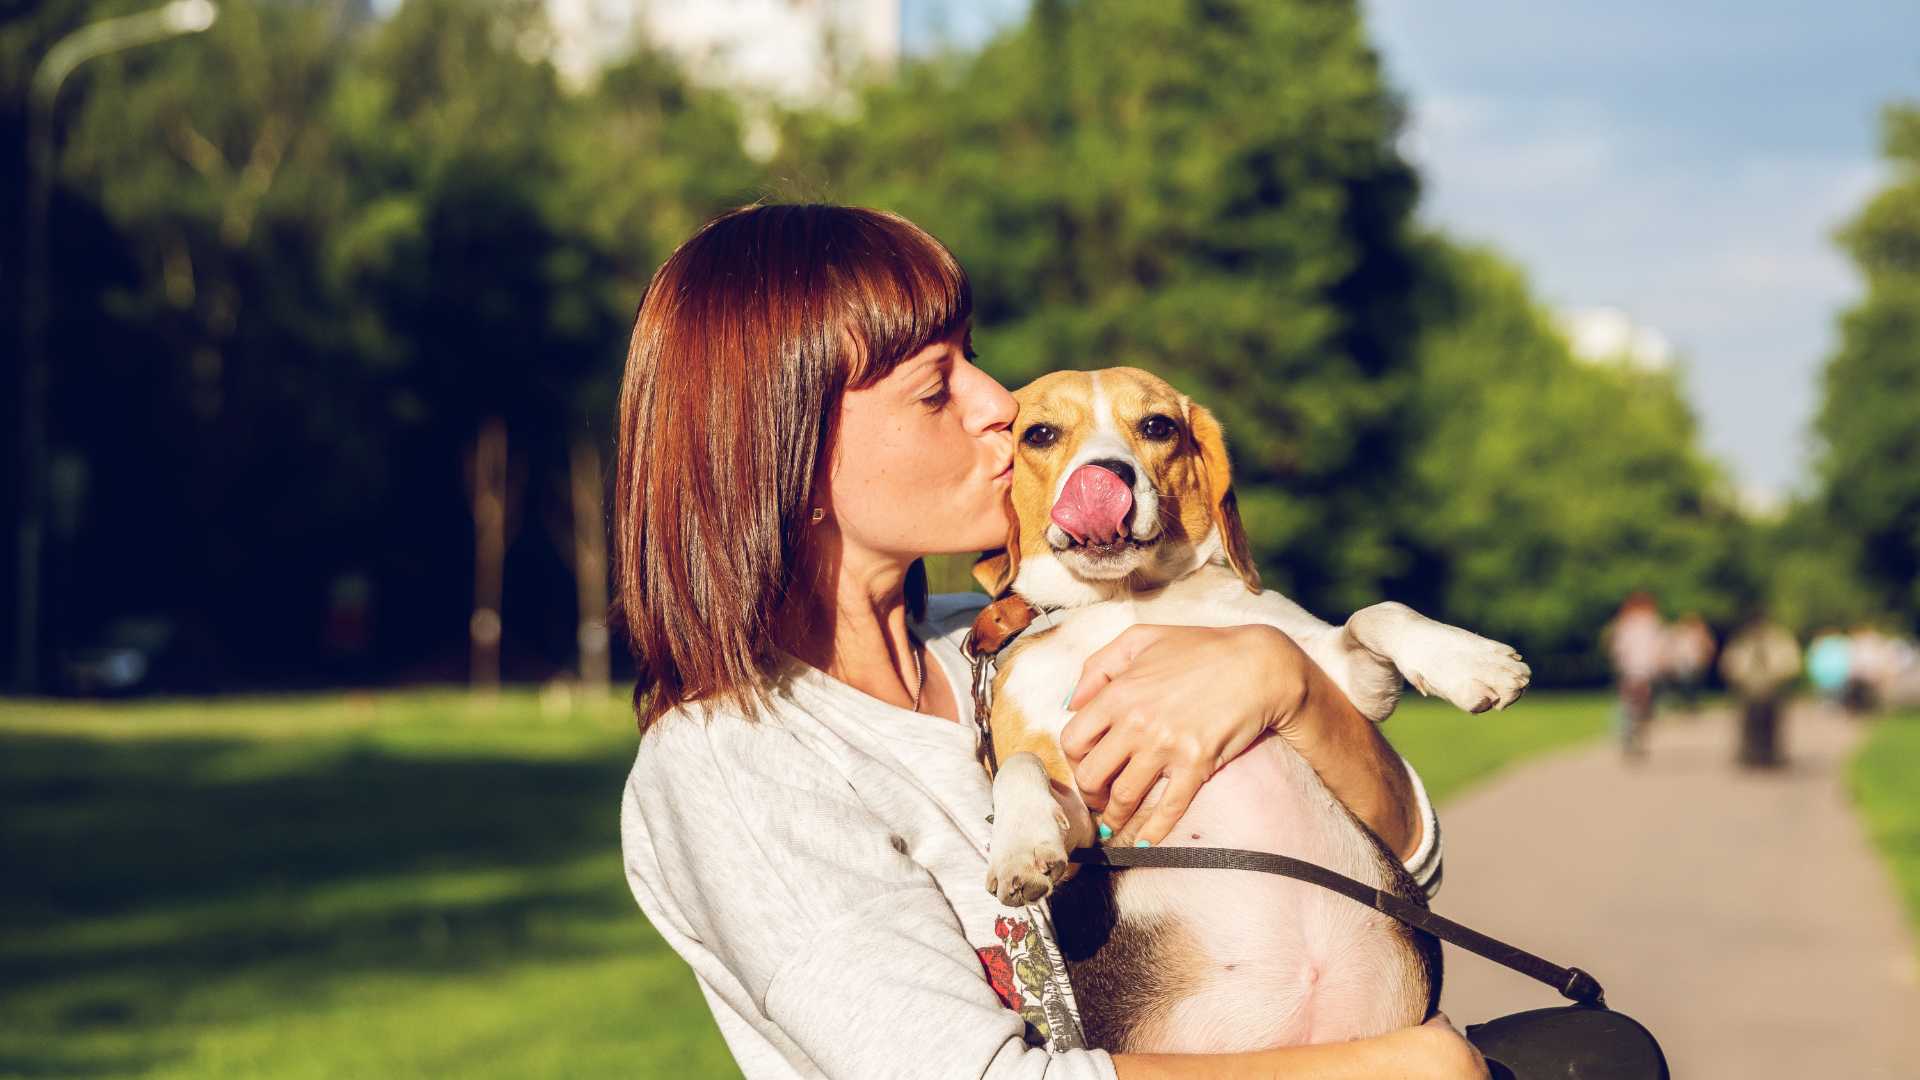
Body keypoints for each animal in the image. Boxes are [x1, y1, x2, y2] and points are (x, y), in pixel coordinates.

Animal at [975, 365, 1528, 1045]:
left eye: (1157, 425)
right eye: (1040, 434)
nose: (1107, 476)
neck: (1127, 599)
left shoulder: (1344, 678)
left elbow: (1377, 613)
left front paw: (1469, 660)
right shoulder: (1088, 832)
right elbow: (1021, 768)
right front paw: (1020, 846)